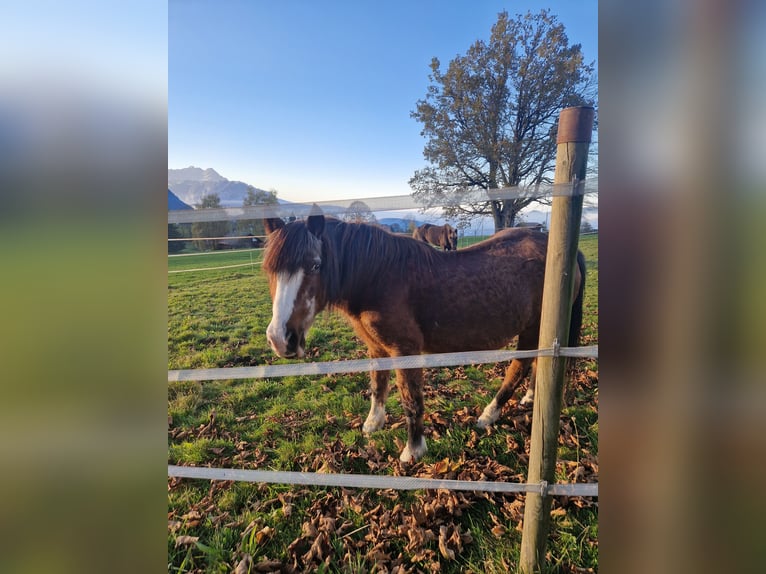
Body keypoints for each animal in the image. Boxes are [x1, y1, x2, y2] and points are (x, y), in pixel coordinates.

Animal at [264, 215, 588, 464]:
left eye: (316, 265)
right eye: (270, 270)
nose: (281, 338)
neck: (378, 277)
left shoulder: (405, 350)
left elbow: (411, 400)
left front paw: (414, 450)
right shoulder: (376, 347)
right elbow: (377, 386)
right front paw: (373, 423)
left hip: (532, 329)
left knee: (518, 367)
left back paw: (489, 414)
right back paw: (531, 396)